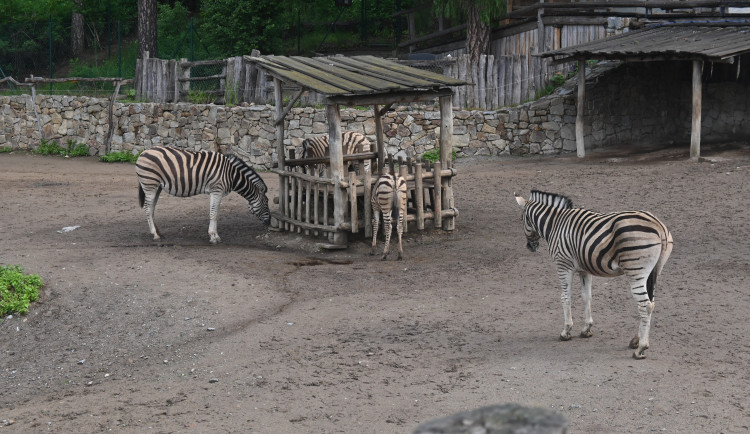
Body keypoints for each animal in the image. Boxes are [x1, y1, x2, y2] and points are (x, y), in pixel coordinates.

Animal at [135, 146, 270, 244]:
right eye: (266, 202)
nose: (269, 222)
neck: (231, 175)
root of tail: (144, 152)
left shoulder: (216, 192)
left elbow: (215, 213)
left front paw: (215, 235)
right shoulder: (217, 191)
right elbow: (214, 214)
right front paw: (213, 237)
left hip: (157, 187)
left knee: (151, 209)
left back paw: (158, 233)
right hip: (150, 184)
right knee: (147, 208)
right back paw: (155, 234)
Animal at [515, 190, 673, 359]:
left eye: (522, 219)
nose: (530, 247)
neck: (555, 224)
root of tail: (659, 226)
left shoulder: (563, 266)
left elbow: (565, 298)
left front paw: (566, 331)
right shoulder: (585, 269)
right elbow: (587, 296)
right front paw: (587, 329)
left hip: (636, 271)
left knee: (645, 305)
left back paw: (641, 348)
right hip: (654, 272)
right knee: (651, 303)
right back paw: (636, 340)